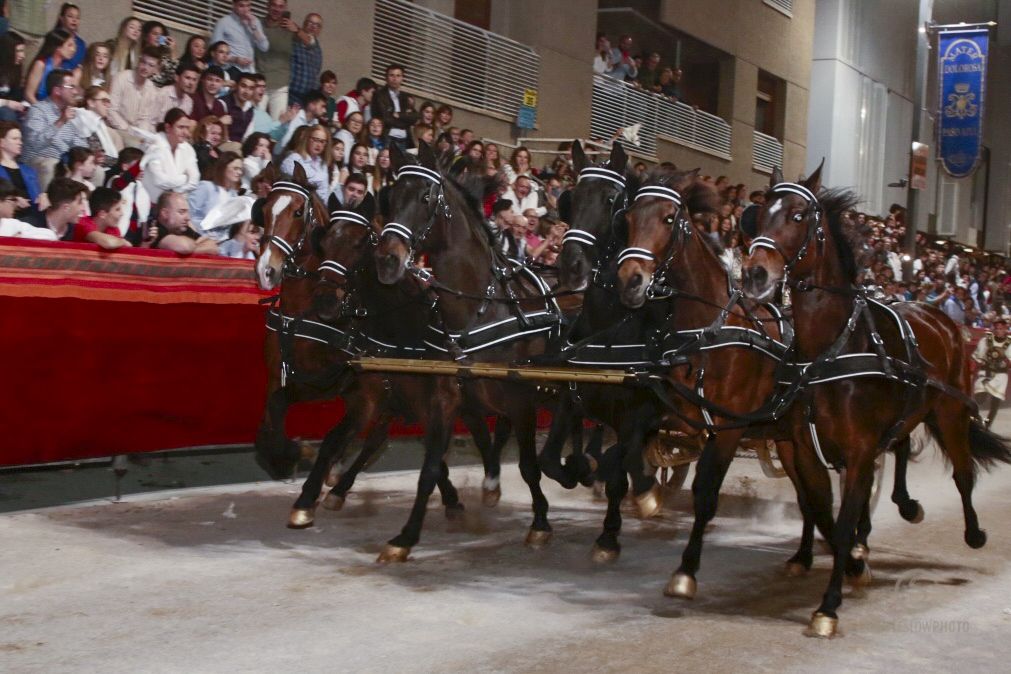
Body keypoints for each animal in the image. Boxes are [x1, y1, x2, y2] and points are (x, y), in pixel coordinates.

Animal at [740, 167, 1006, 638]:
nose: (754, 273)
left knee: (961, 472)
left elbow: (843, 520)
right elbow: (820, 509)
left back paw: (972, 532)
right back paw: (903, 506)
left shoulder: (859, 448)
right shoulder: (806, 449)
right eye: (760, 214)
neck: (830, 351)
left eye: (798, 214)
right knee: (900, 446)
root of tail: (942, 320)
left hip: (950, 412)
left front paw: (829, 605)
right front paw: (842, 562)